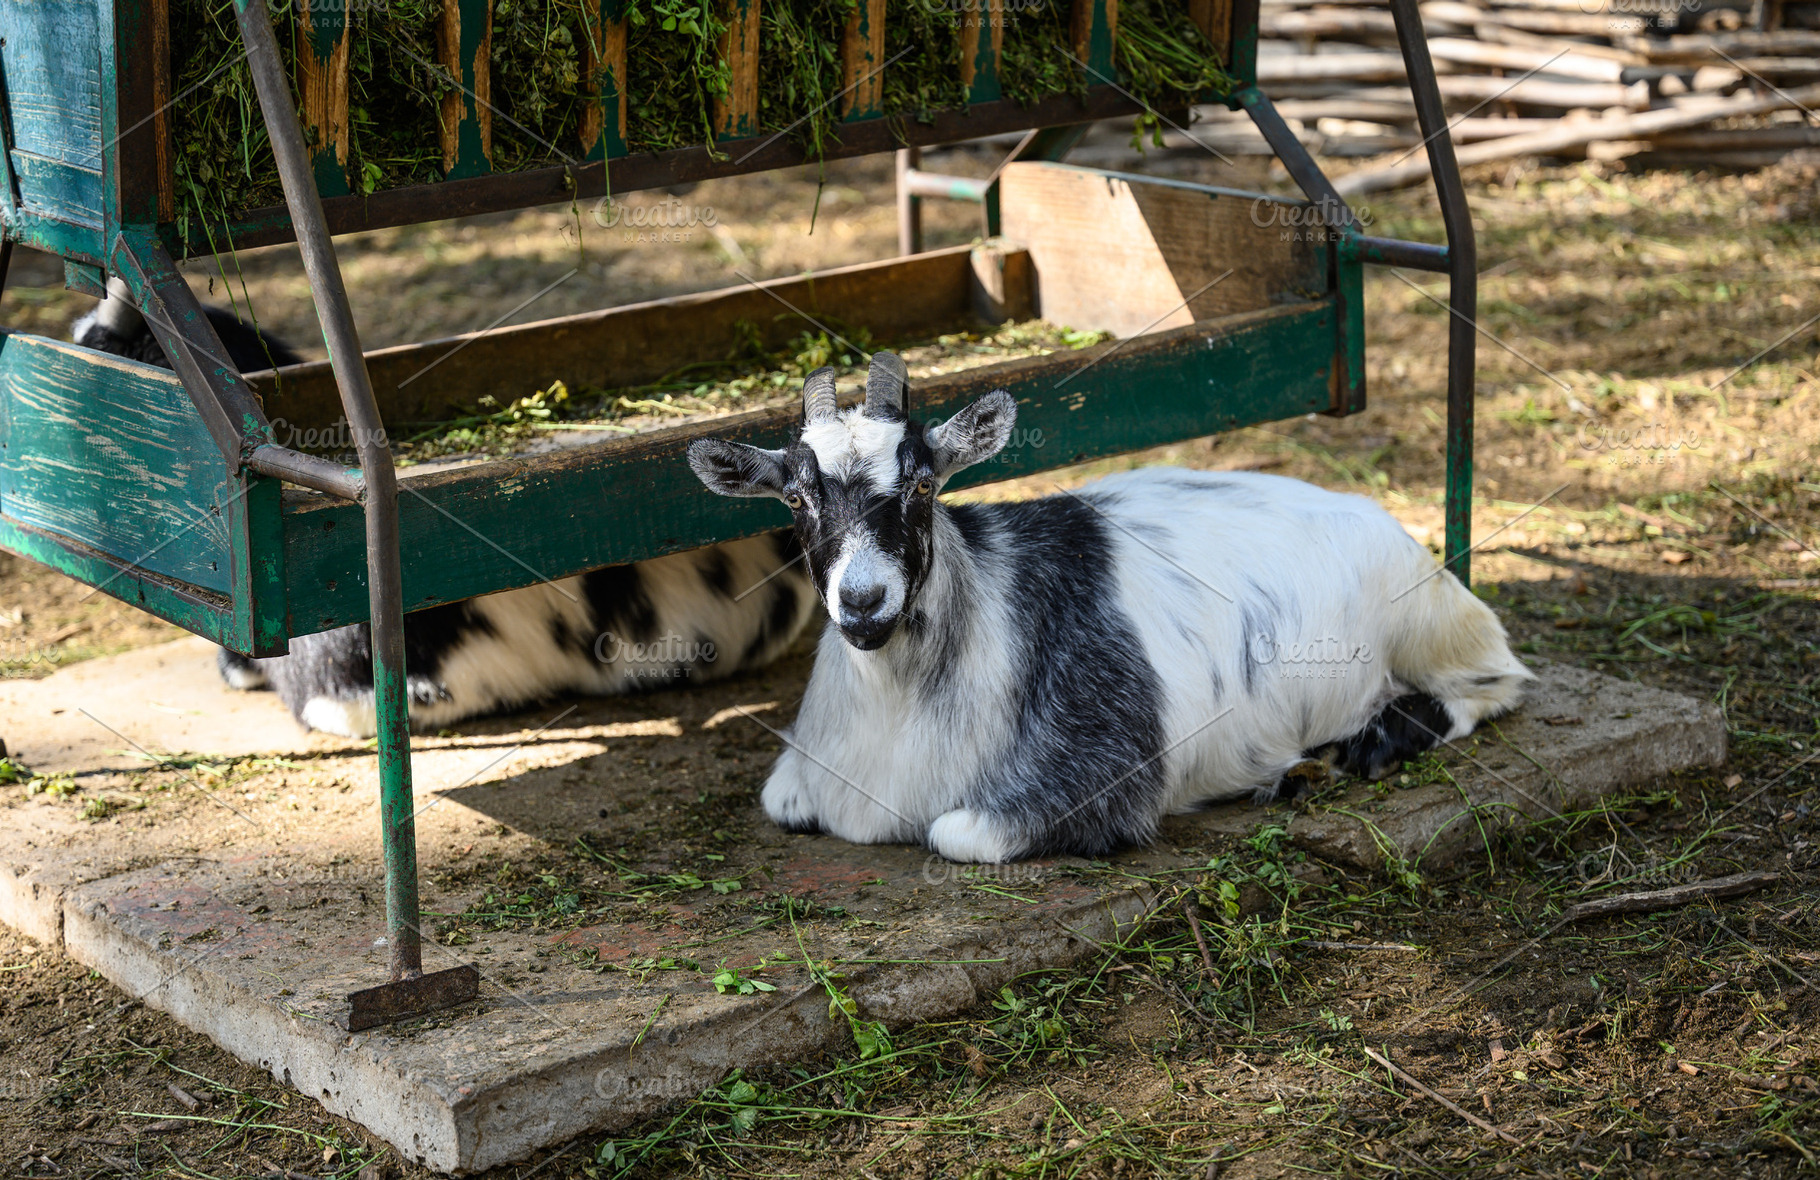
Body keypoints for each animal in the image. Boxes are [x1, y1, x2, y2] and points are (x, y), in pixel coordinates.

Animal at [688, 354, 1534, 863]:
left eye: (925, 483)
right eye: (795, 499)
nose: (863, 601)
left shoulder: (1101, 769)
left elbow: (956, 832)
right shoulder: (799, 776)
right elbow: (778, 797)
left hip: (1435, 631)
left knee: (1491, 689)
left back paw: (1364, 745)